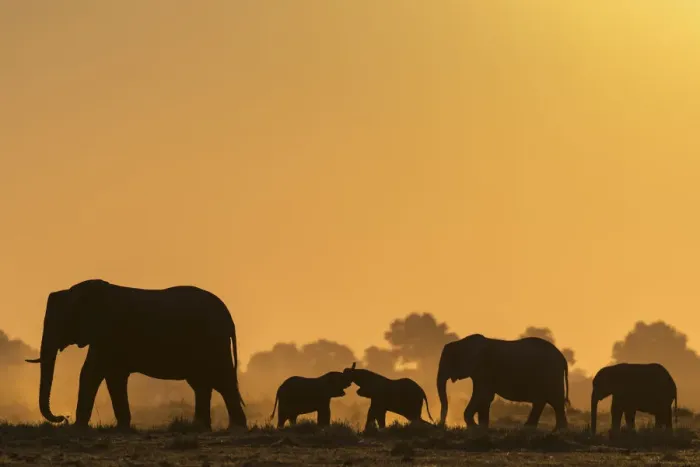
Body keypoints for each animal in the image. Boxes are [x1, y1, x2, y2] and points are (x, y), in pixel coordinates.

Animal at [25, 279, 247, 431]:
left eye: (59, 322)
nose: (63, 417)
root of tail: (228, 317)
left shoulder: (109, 333)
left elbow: (92, 373)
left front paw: (78, 428)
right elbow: (108, 375)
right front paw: (121, 428)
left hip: (213, 342)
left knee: (222, 381)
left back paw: (235, 429)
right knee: (202, 383)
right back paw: (202, 428)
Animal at [437, 334, 570, 430]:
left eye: (448, 361)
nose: (442, 426)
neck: (461, 342)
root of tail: (563, 358)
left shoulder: (484, 369)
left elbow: (482, 395)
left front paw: (475, 427)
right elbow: (485, 397)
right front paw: (482, 428)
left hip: (551, 374)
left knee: (554, 401)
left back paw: (555, 430)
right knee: (545, 401)